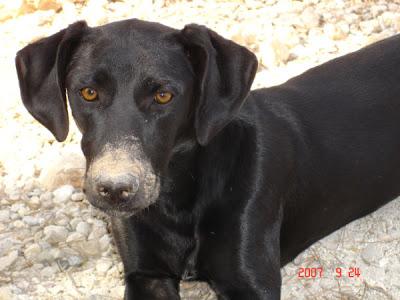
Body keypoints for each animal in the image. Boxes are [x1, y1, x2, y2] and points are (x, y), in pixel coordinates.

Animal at [14, 18, 400, 298]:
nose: (115, 189)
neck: (177, 199)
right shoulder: (145, 274)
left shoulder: (251, 282)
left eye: (164, 96)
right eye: (88, 92)